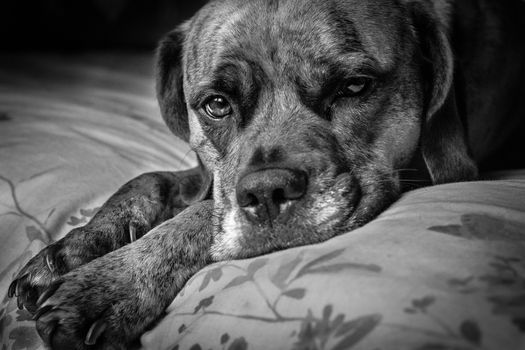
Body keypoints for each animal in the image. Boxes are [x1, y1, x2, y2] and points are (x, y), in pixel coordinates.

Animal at [8, 0, 524, 348]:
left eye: (355, 87)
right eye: (216, 104)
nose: (269, 191)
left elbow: (203, 215)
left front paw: (112, 282)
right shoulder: (207, 173)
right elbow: (153, 179)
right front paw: (77, 246)